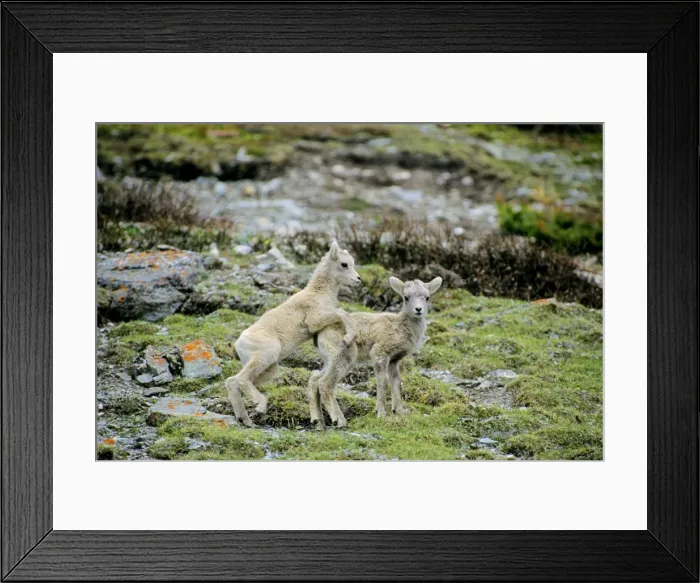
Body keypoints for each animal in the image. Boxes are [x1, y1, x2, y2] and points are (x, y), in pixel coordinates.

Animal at [226, 241, 362, 427]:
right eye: (344, 264)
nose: (358, 279)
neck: (319, 293)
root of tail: (238, 344)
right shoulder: (315, 320)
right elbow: (342, 313)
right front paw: (349, 337)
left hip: (269, 368)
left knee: (232, 381)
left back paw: (246, 421)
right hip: (265, 356)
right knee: (241, 379)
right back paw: (260, 406)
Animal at [308, 276, 443, 427]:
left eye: (427, 297)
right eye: (406, 297)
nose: (418, 309)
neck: (401, 327)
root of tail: (318, 333)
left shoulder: (394, 360)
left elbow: (396, 382)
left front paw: (399, 411)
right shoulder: (379, 353)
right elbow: (382, 380)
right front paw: (381, 412)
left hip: (329, 359)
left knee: (314, 380)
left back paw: (318, 421)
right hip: (343, 356)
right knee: (324, 383)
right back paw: (340, 420)